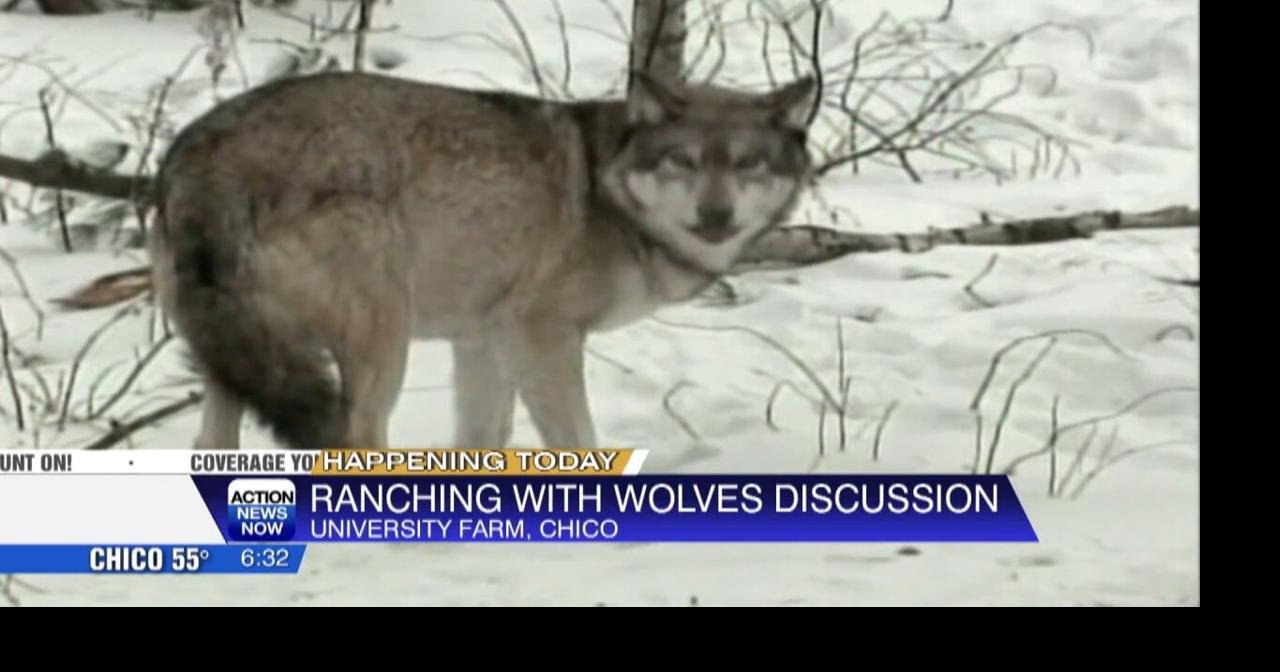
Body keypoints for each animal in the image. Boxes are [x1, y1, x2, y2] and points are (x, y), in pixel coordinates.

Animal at [147, 70, 817, 450]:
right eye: (683, 160)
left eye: (748, 164)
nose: (716, 215)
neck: (608, 190)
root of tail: (205, 155)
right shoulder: (540, 336)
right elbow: (578, 443)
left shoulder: (482, 341)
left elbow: (479, 440)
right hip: (382, 339)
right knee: (356, 441)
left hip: (236, 360)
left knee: (212, 447)